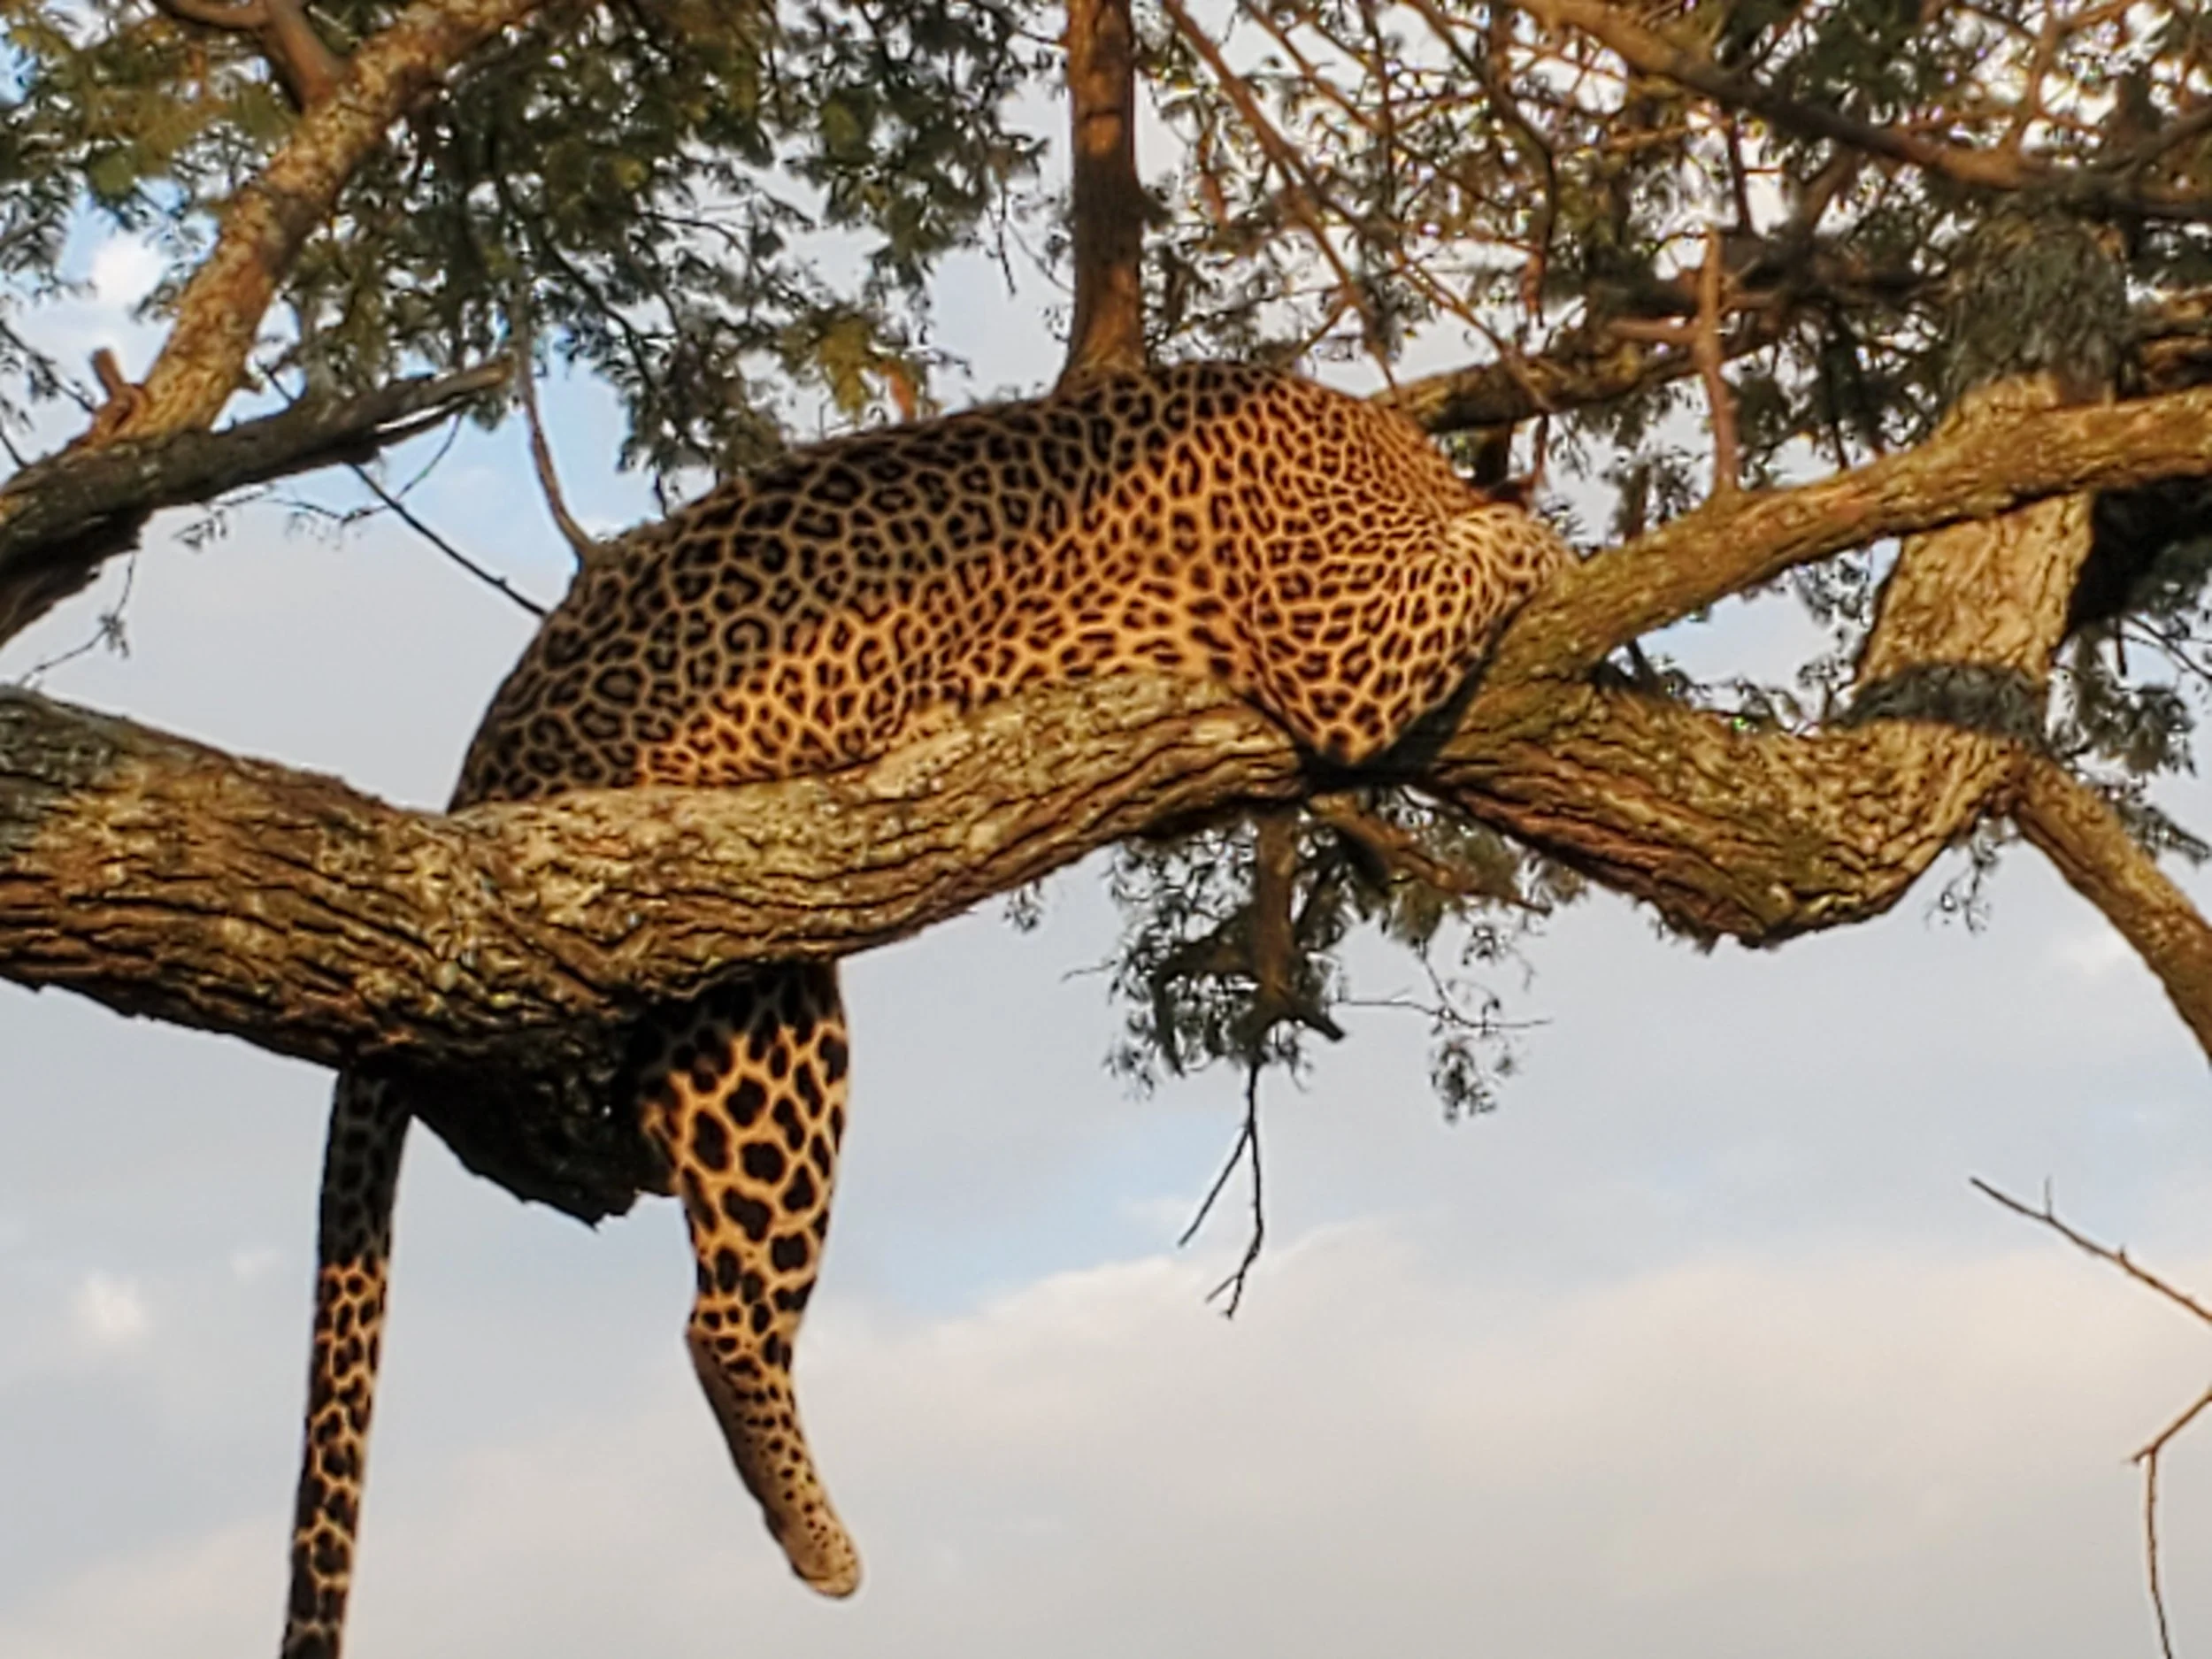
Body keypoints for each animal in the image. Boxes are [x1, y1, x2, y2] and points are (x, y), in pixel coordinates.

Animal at [275, 359, 1570, 1658]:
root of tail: (468, 794)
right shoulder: (1336, 641)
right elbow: (1469, 562)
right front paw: (1539, 545)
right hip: (767, 1011)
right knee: (722, 1321)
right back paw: (822, 1541)